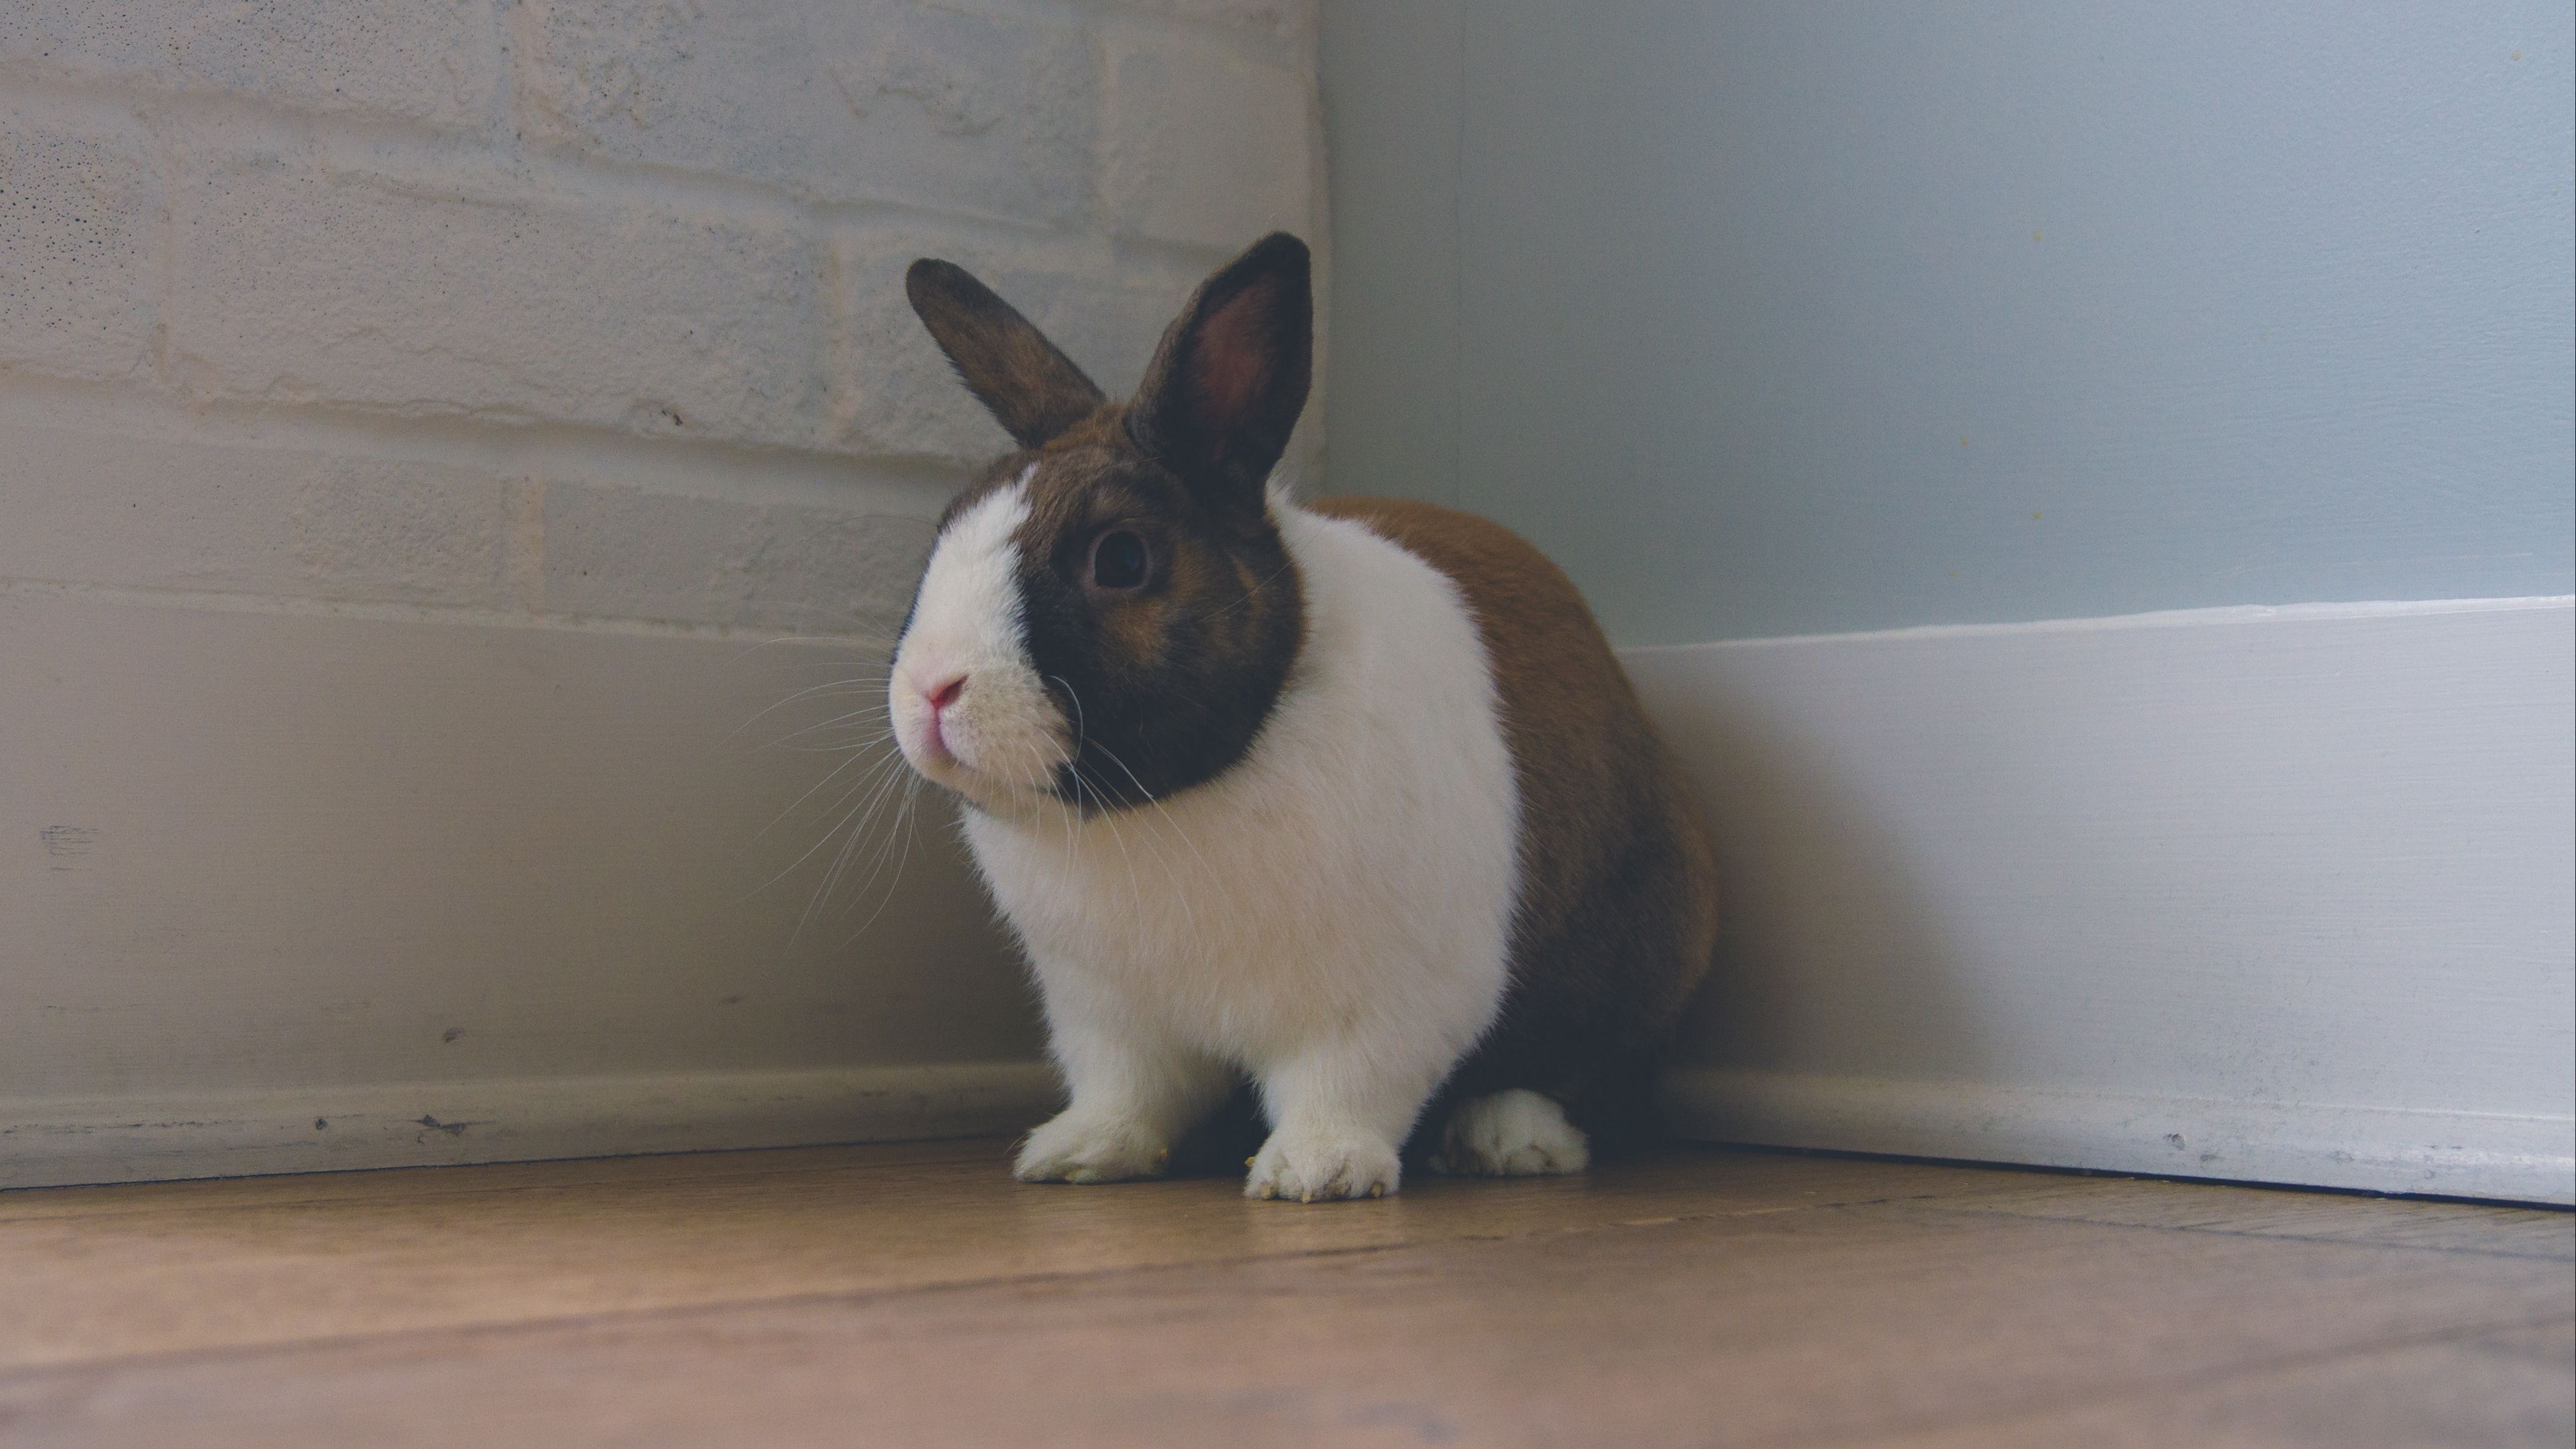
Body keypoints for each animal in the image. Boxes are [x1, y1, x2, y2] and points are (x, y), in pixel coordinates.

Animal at [887, 232, 1718, 1202]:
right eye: (944, 532)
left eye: (1121, 559)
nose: (933, 689)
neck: (1161, 806)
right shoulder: (1106, 1014)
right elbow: (1127, 1092)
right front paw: (1076, 1154)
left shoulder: (1389, 999)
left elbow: (1344, 1084)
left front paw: (1315, 1173)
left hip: (1633, 966)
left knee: (1578, 1077)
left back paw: (1510, 1141)